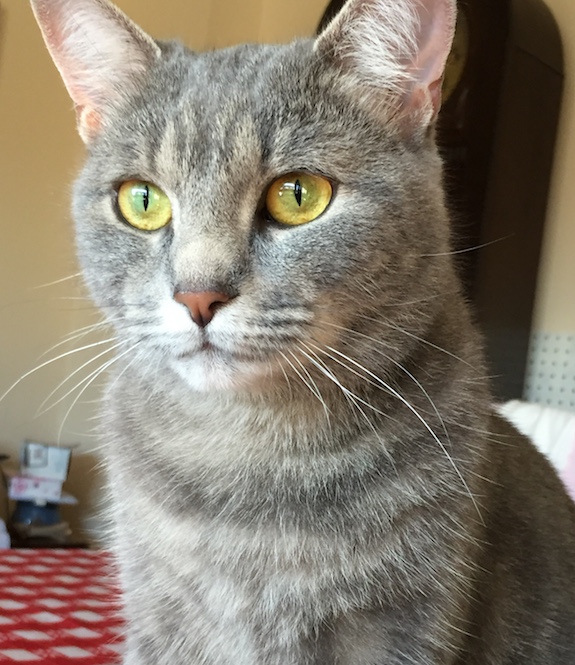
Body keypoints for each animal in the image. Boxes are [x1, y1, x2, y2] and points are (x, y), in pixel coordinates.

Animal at [30, 0, 575, 660]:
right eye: (142, 201)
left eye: (298, 195)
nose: (197, 295)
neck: (239, 457)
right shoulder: (158, 619)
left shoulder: (402, 624)